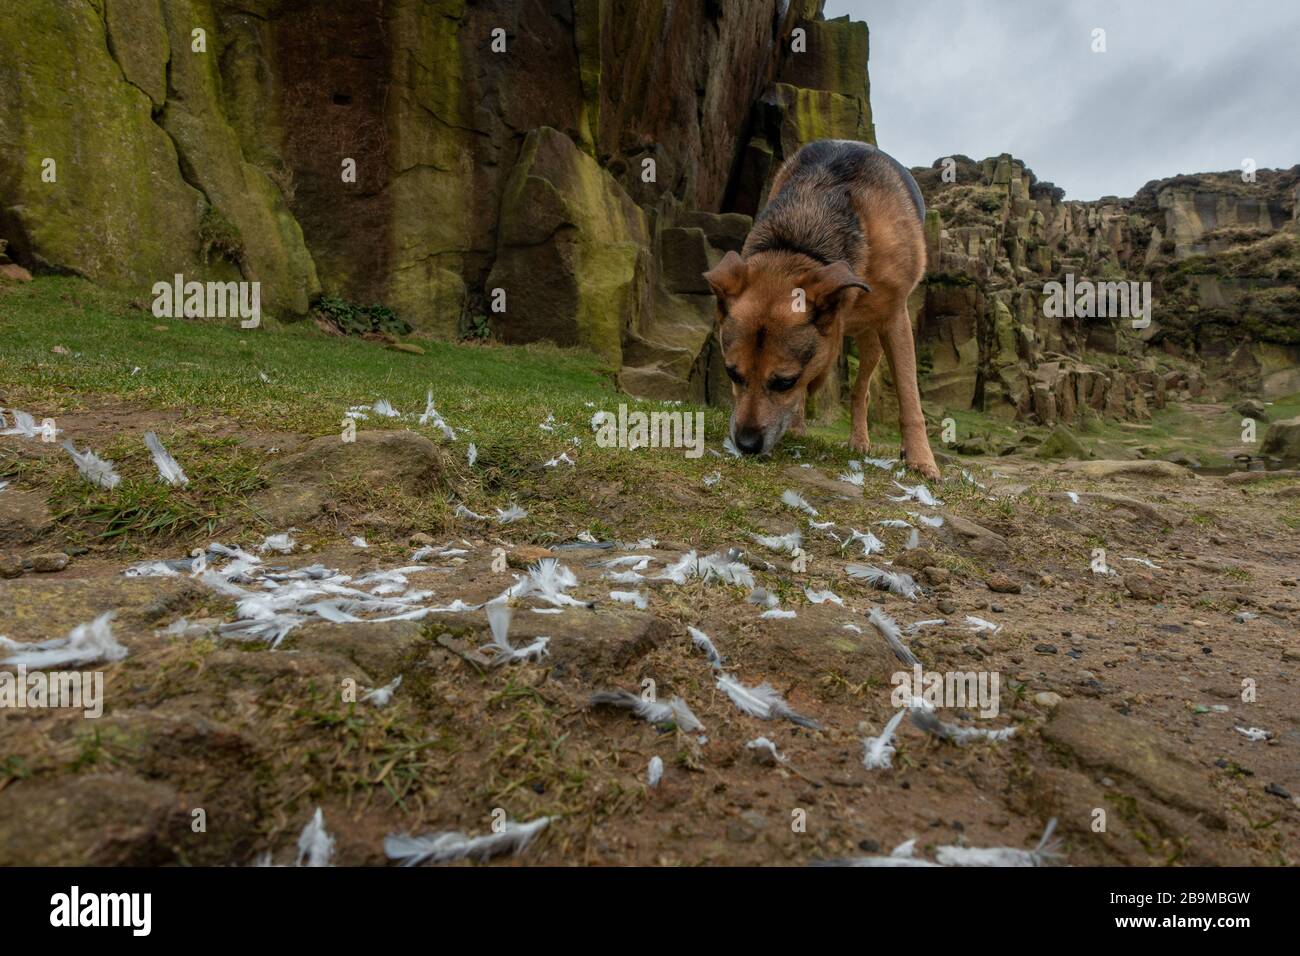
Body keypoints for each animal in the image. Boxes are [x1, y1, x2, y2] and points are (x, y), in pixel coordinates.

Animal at [702, 136, 935, 478]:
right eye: (732, 373)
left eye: (784, 382)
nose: (746, 445)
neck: (800, 243)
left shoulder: (895, 319)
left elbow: (909, 397)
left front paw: (921, 459)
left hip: (874, 341)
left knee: (862, 390)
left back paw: (861, 440)